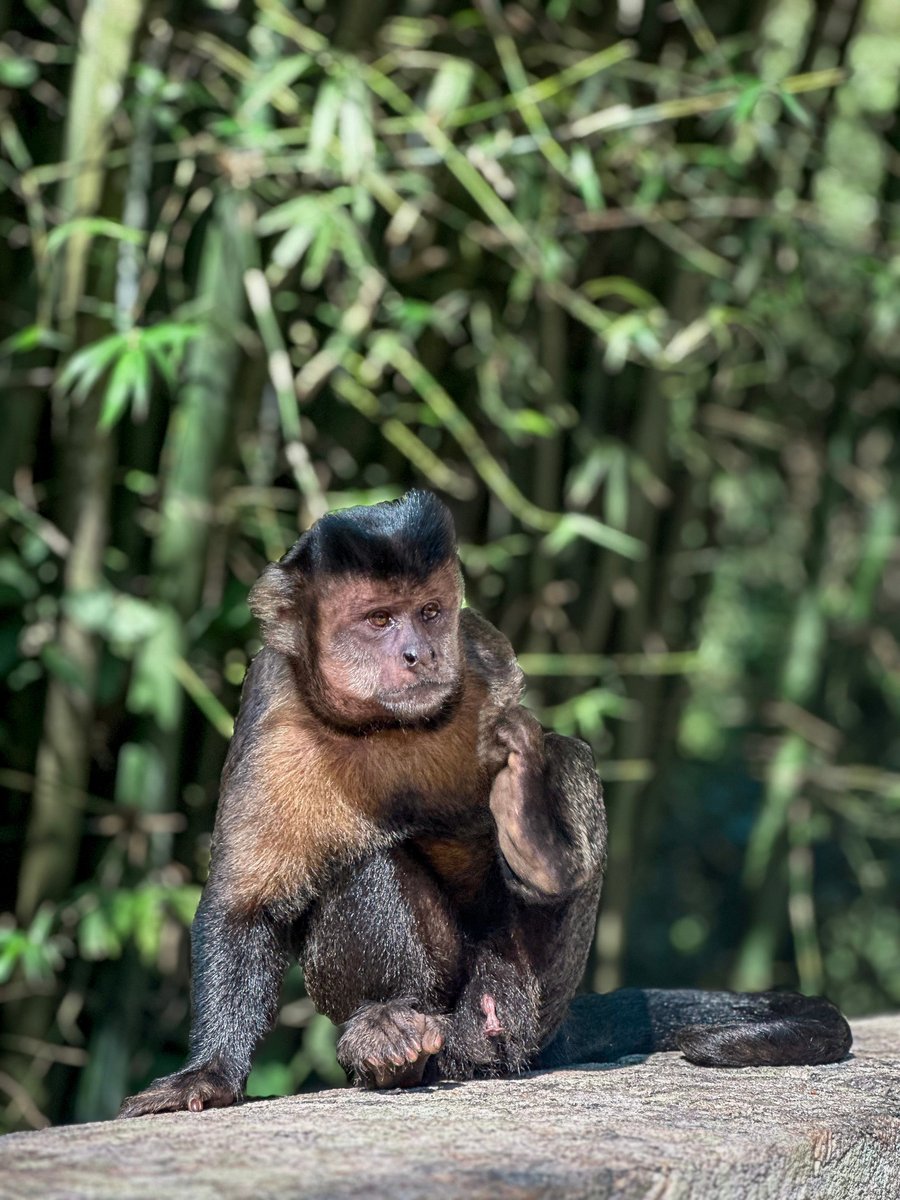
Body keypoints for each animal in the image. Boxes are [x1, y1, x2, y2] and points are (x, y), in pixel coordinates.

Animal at [119, 490, 850, 1117]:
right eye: (379, 619)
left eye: (430, 612)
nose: (418, 652)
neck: (385, 724)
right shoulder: (271, 701)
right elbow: (246, 904)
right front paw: (210, 1074)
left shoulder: (484, 660)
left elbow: (554, 747)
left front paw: (526, 819)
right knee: (363, 863)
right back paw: (387, 1033)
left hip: (522, 996)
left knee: (560, 787)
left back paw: (531, 859)